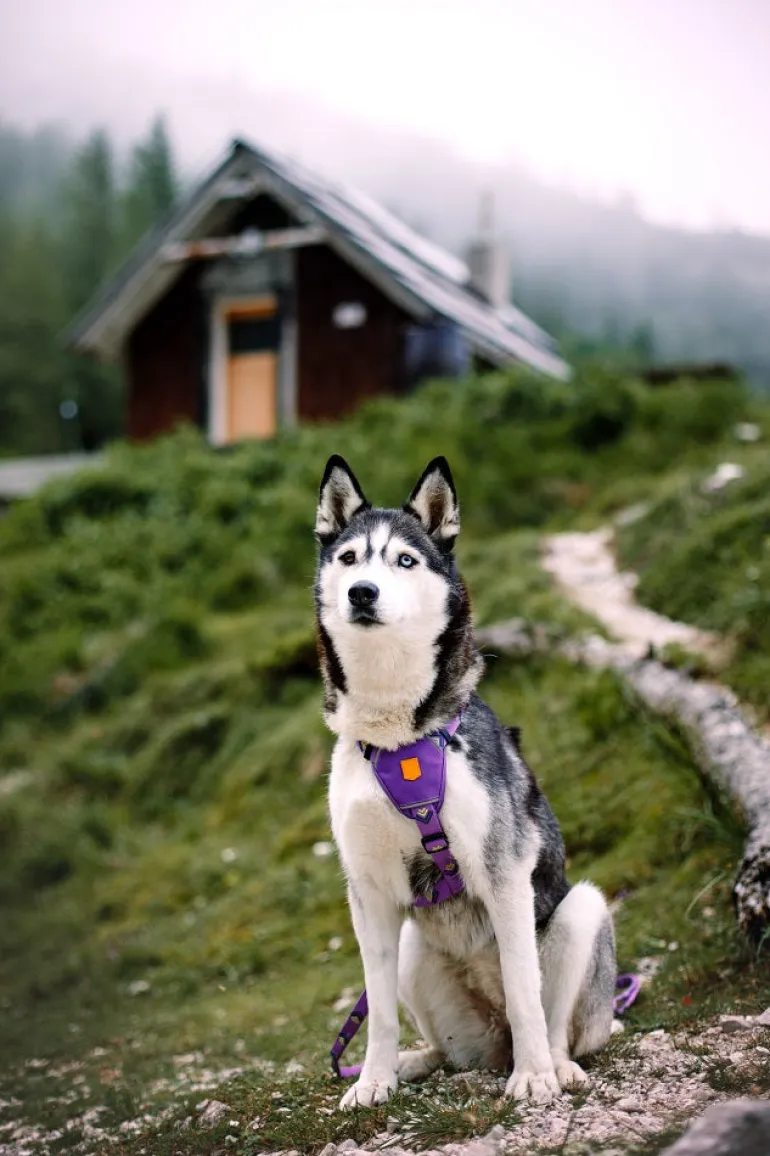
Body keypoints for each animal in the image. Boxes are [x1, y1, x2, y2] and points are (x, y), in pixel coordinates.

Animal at [314, 455, 616, 1110]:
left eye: (405, 560)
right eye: (349, 558)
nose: (361, 592)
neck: (400, 738)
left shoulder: (504, 873)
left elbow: (526, 992)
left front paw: (534, 1078)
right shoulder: (368, 891)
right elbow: (377, 1012)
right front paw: (372, 1081)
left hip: (581, 911)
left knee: (552, 1023)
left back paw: (554, 1065)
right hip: (414, 954)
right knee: (449, 1050)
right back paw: (415, 1061)